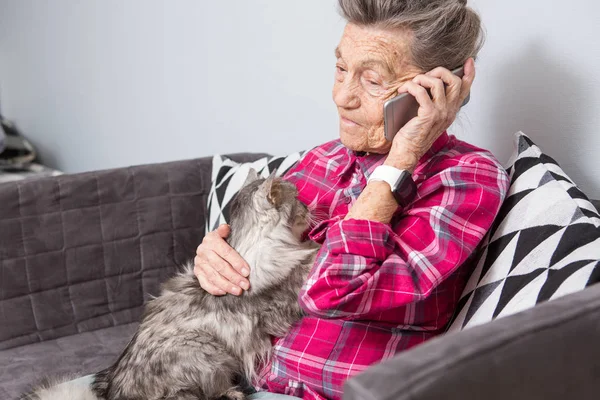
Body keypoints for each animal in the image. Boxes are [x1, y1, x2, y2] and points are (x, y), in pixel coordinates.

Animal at [24, 171, 318, 400]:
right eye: (297, 200)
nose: (310, 208)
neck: (254, 245)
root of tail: (115, 391)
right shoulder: (282, 293)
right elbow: (308, 261)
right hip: (206, 350)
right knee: (193, 393)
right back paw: (233, 392)